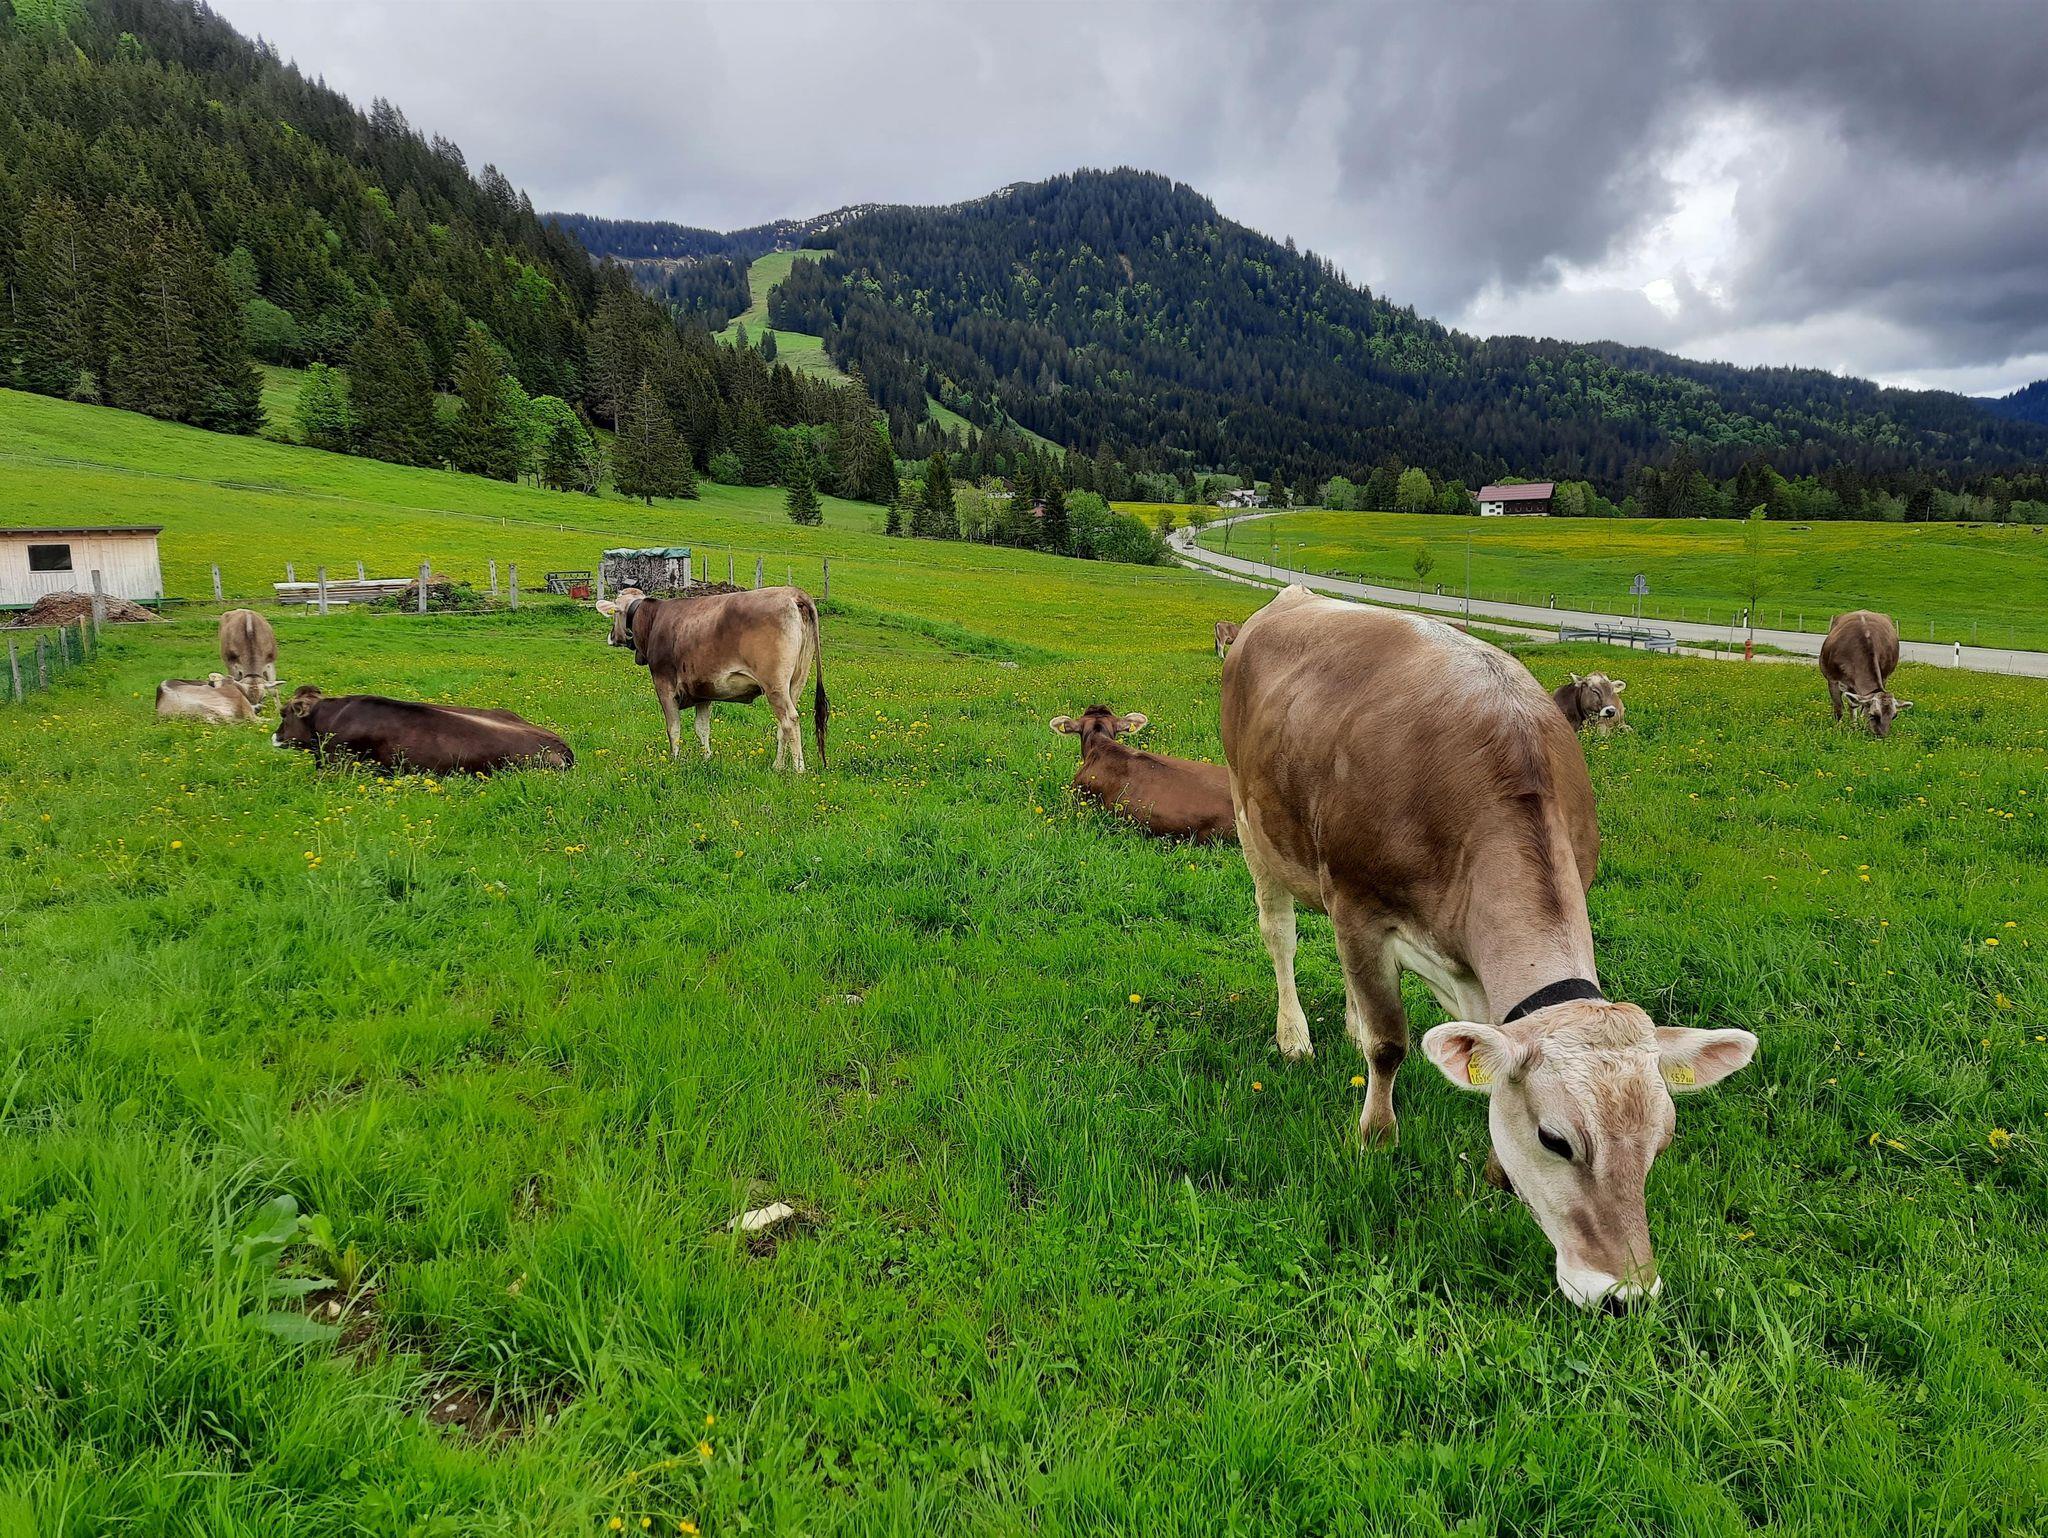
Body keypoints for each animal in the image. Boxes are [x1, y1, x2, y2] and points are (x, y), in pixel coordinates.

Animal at [594, 586, 828, 772]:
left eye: (615, 614)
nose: (611, 637)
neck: (653, 620)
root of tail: (793, 593)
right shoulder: (703, 691)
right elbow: (702, 728)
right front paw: (706, 758)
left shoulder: (664, 685)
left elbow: (673, 728)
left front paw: (675, 760)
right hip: (795, 681)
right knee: (784, 725)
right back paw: (777, 766)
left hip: (774, 684)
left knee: (790, 719)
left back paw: (798, 770)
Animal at [1221, 586, 1756, 1310]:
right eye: (1555, 1140)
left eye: (1663, 1142)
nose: (1625, 1295)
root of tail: (1292, 597)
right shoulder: (1358, 907)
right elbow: (1389, 1043)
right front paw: (1376, 1139)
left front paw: (1496, 1170)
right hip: (1255, 826)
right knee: (1280, 936)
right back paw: (1294, 1036)